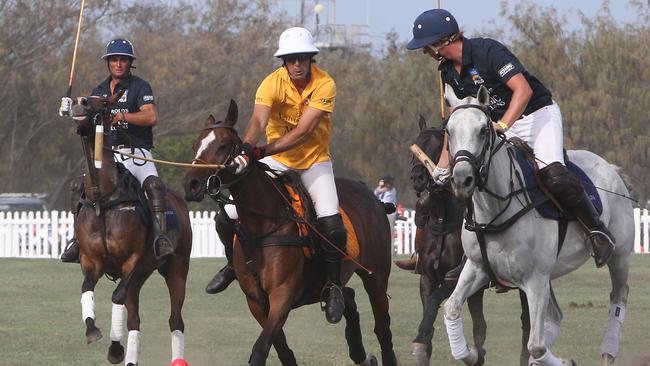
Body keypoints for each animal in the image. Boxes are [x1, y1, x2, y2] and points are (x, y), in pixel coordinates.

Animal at [68, 93, 191, 364]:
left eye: (104, 103)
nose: (79, 102)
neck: (103, 199)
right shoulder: (91, 260)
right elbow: (86, 289)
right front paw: (93, 331)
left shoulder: (132, 260)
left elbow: (116, 297)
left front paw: (115, 349)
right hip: (141, 276)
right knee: (134, 319)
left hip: (176, 269)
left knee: (175, 320)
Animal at [181, 100, 394, 366]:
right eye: (195, 145)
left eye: (223, 145)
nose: (191, 185)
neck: (261, 226)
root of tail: (372, 196)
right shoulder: (256, 300)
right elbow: (281, 348)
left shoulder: (283, 294)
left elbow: (261, 348)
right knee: (350, 299)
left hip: (376, 275)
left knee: (382, 327)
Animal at [410, 117, 532, 366]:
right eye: (418, 142)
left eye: (439, 146)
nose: (417, 178)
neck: (443, 219)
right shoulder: (427, 277)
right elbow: (430, 306)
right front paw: (423, 346)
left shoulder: (455, 276)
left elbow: (436, 301)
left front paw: (420, 342)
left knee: (526, 320)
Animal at [438, 86, 632, 366]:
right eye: (449, 131)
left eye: (484, 130)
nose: (462, 180)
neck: (495, 210)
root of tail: (613, 169)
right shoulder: (477, 268)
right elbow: (451, 308)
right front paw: (473, 354)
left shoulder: (535, 279)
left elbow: (537, 346)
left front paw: (563, 361)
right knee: (557, 315)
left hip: (620, 256)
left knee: (618, 297)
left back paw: (608, 352)